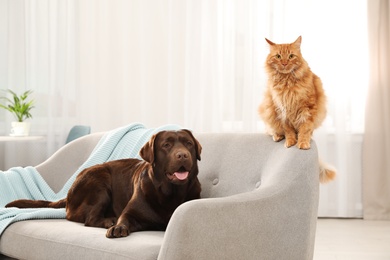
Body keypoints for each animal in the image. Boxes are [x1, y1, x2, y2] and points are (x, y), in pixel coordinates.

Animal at [258, 36, 336, 183]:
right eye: (278, 56)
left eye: (291, 56)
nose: (284, 63)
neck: (287, 82)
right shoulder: (281, 109)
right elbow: (288, 130)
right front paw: (290, 142)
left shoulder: (308, 109)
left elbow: (305, 129)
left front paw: (303, 143)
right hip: (267, 109)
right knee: (270, 130)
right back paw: (277, 136)